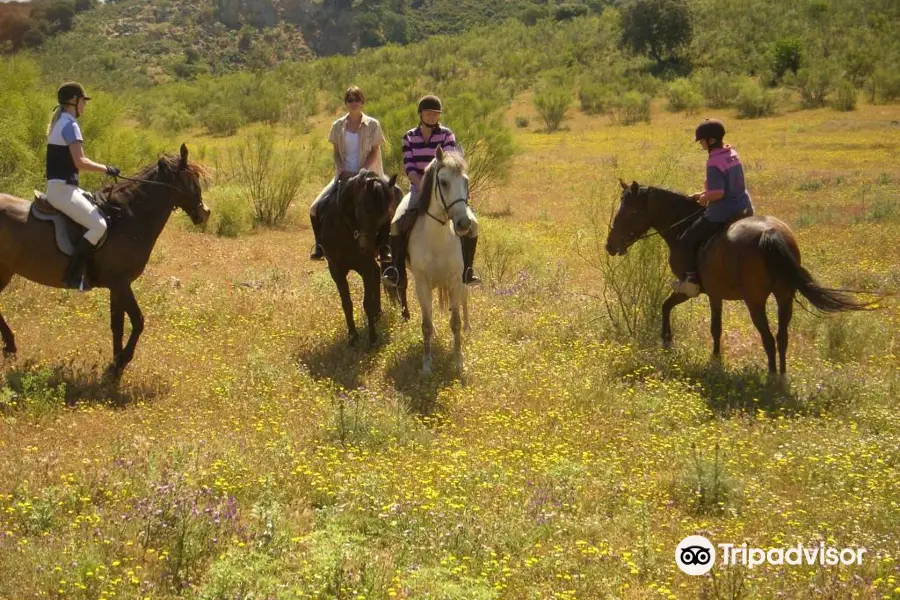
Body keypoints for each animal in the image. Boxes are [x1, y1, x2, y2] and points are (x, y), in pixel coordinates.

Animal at [0, 144, 209, 376]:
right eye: (192, 179)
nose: (204, 213)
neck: (127, 218)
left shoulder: (116, 286)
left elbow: (117, 324)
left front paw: (115, 365)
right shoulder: (120, 282)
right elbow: (137, 321)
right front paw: (121, 362)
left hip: (6, 270)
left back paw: (10, 346)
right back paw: (10, 346)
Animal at [318, 168, 400, 346]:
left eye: (386, 213)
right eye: (367, 209)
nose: (366, 246)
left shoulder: (365, 265)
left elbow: (366, 303)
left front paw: (372, 339)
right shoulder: (336, 269)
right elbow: (346, 303)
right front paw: (353, 336)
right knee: (377, 274)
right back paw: (377, 315)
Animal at [406, 148, 472, 372]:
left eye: (466, 181)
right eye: (443, 182)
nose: (463, 223)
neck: (437, 239)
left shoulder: (456, 279)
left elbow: (455, 322)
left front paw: (459, 361)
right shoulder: (422, 284)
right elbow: (426, 324)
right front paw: (427, 364)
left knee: (464, 299)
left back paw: (469, 327)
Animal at [604, 180, 872, 372]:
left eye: (628, 213)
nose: (610, 245)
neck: (683, 225)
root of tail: (770, 232)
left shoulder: (698, 290)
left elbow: (692, 317)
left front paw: (679, 345)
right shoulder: (712, 293)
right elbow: (682, 312)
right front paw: (680, 345)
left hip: (755, 301)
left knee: (768, 338)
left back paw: (772, 377)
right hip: (784, 296)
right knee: (781, 336)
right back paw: (782, 375)